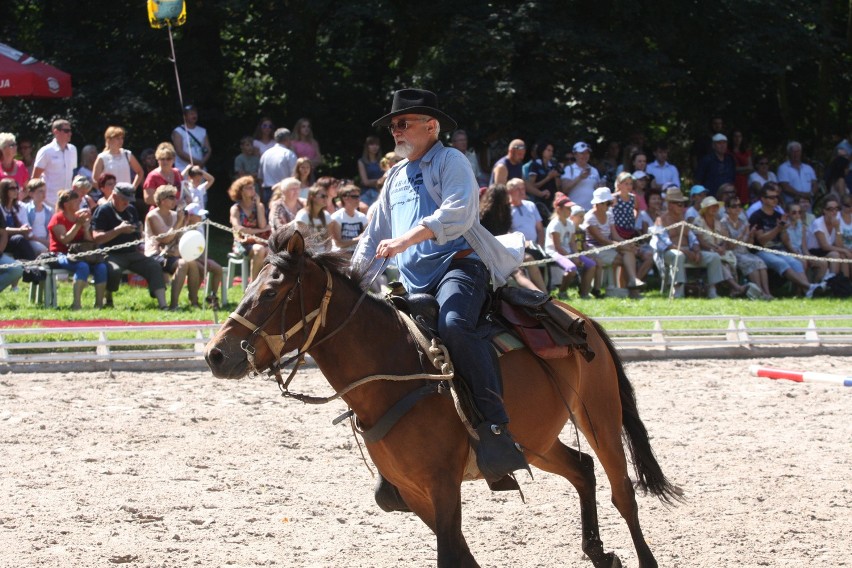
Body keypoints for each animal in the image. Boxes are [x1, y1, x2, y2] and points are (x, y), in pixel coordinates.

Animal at [205, 227, 680, 568]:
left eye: (270, 293)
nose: (216, 354)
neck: (399, 371)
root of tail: (582, 319)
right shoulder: (413, 492)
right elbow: (460, 556)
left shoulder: (442, 484)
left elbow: (451, 557)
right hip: (536, 441)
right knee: (581, 468)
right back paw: (599, 553)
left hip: (599, 415)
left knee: (623, 491)